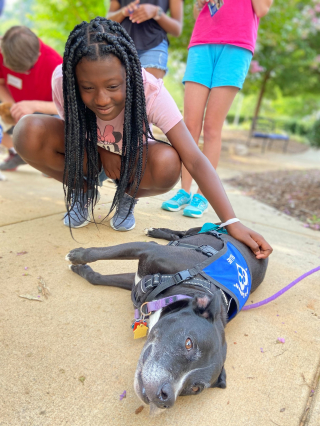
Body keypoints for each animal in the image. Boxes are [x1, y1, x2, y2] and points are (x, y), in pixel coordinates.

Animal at [66, 226, 268, 412]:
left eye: (195, 388)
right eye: (188, 343)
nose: (165, 398)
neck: (191, 282)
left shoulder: (140, 285)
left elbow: (96, 278)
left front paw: (81, 268)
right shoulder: (149, 250)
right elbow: (97, 254)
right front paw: (76, 257)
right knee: (183, 232)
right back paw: (157, 232)